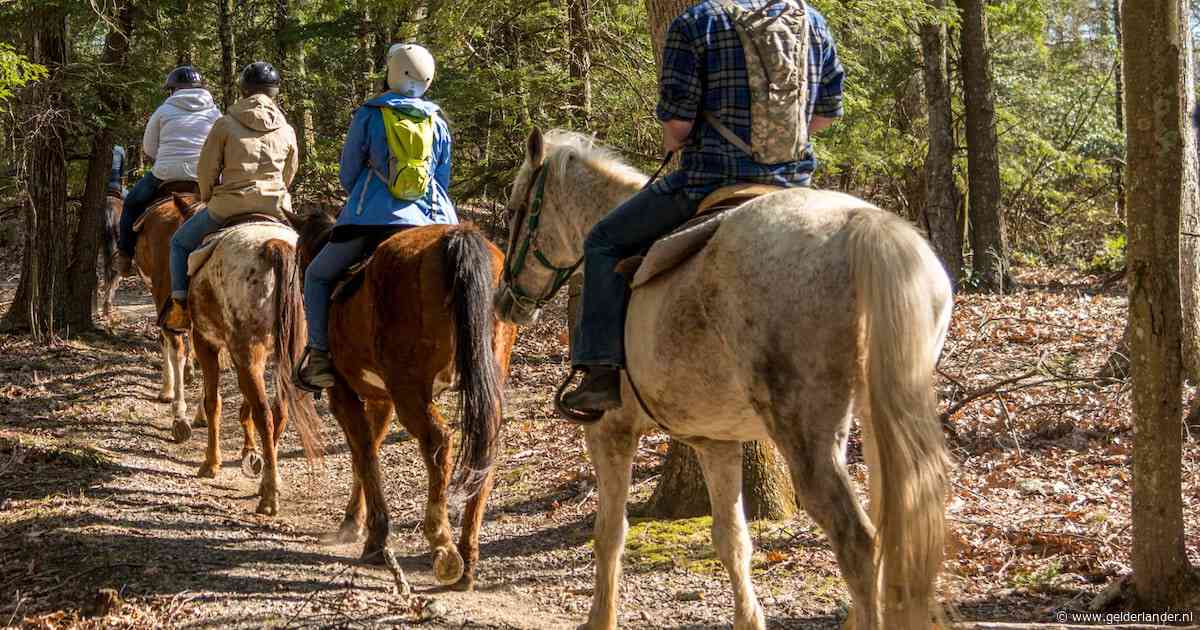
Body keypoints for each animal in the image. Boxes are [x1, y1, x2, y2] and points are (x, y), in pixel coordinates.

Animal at [183, 202, 324, 515]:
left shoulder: (206, 342)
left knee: (264, 414)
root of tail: (274, 246)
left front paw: (211, 463)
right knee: (279, 412)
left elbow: (213, 402)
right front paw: (250, 453)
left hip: (245, 351)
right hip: (284, 356)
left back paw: (269, 496)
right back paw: (269, 480)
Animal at [290, 210, 516, 591]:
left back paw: (443, 546)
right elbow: (368, 451)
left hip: (410, 390)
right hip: (483, 385)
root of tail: (456, 239)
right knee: (485, 448)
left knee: (438, 441)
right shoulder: (382, 399)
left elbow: (364, 454)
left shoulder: (344, 395)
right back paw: (468, 559)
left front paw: (374, 538)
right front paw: (354, 523)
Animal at [494, 129, 954, 630]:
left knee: (857, 540)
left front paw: (601, 618)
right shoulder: (716, 443)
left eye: (514, 209)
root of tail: (861, 224)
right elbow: (732, 539)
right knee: (892, 521)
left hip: (808, 435)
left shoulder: (610, 431)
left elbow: (610, 532)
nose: (504, 301)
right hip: (878, 417)